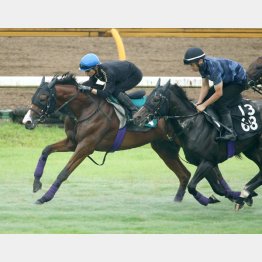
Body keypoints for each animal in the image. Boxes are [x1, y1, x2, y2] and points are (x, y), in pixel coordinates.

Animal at [133, 80, 262, 211]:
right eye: (148, 97)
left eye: (156, 99)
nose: (137, 117)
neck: (192, 125)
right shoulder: (204, 163)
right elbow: (218, 189)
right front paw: (235, 197)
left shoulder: (207, 161)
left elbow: (192, 186)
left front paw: (208, 200)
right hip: (252, 150)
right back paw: (246, 193)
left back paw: (245, 193)